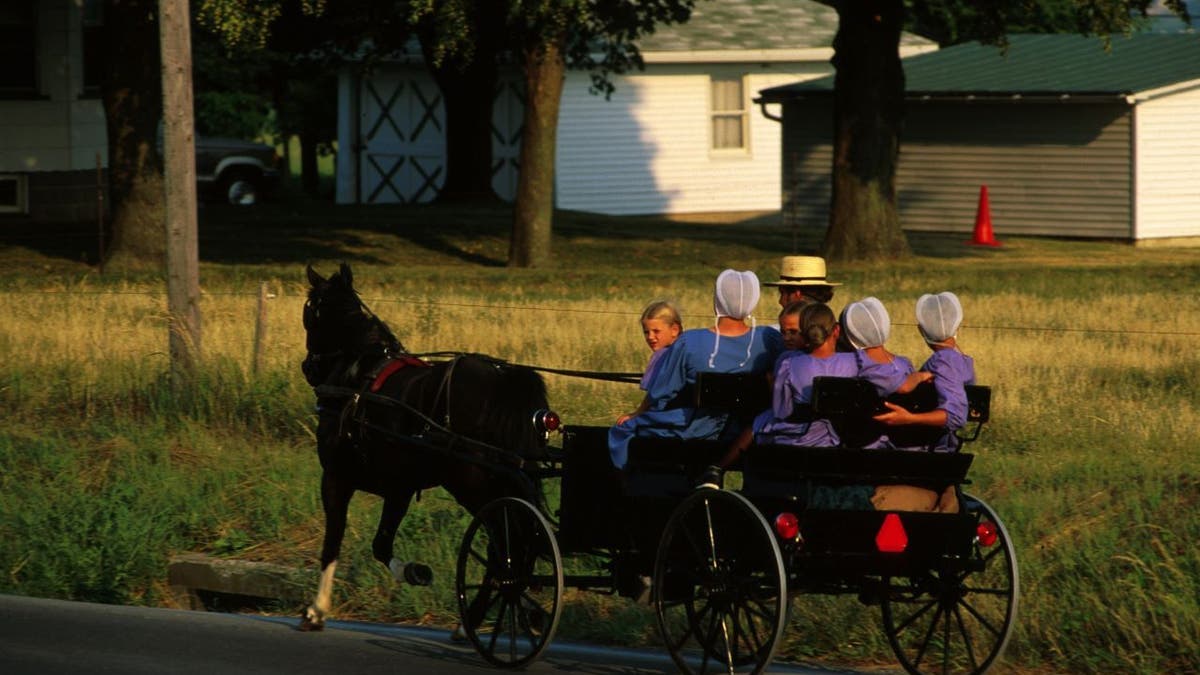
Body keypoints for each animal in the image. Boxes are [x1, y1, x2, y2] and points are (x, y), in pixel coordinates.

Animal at [300, 263, 552, 629]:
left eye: (309, 312)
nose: (308, 368)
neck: (358, 373)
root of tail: (504, 381)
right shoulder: (399, 487)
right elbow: (381, 543)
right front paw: (414, 572)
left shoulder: (336, 478)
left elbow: (332, 542)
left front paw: (317, 609)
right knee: (510, 545)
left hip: (473, 485)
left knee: (506, 549)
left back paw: (482, 615)